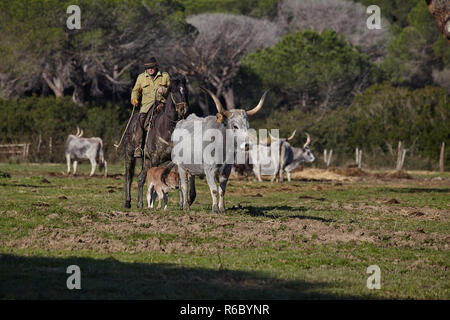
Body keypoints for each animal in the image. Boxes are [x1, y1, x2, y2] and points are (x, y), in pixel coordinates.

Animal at [122, 77, 189, 208]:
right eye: (174, 91)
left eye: (185, 91)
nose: (183, 109)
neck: (167, 128)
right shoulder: (155, 158)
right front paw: (153, 203)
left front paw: (181, 204)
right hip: (130, 155)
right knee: (129, 177)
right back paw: (127, 202)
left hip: (146, 160)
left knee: (140, 178)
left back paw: (140, 203)